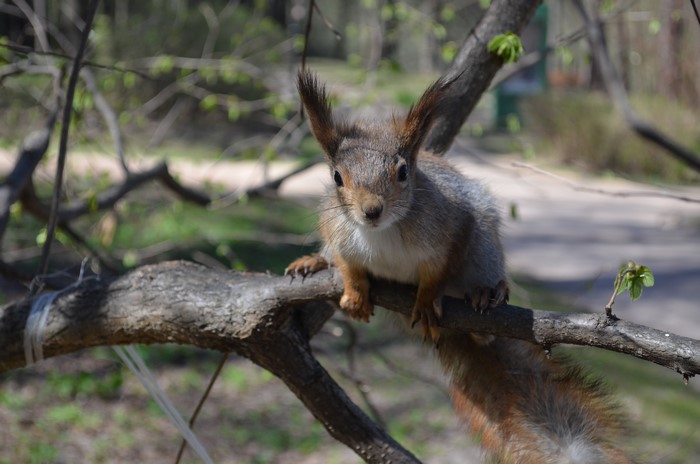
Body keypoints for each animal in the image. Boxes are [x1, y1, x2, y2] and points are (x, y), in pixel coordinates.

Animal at [286, 70, 630, 464]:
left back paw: (486, 298)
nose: (371, 210)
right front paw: (356, 294)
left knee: (484, 317)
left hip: (483, 246)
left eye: (402, 172)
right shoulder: (339, 236)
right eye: (336, 177)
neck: (380, 232)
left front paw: (425, 302)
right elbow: (350, 267)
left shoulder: (449, 231)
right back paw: (313, 261)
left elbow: (436, 274)